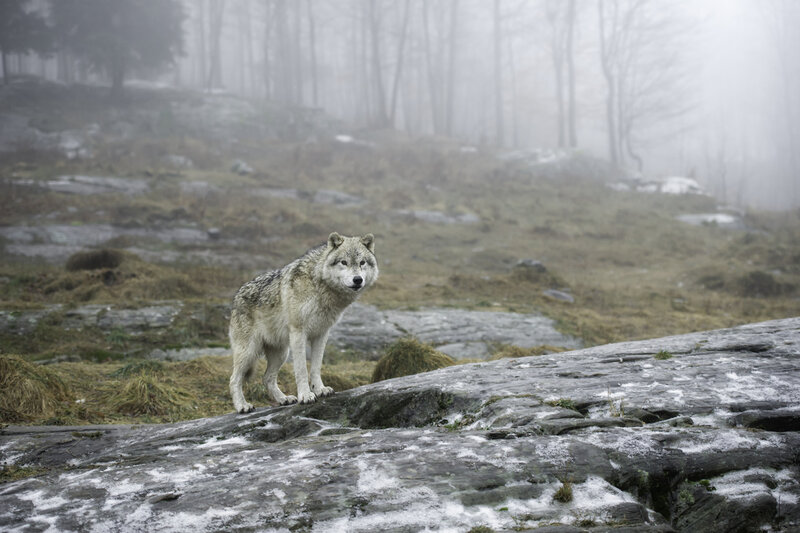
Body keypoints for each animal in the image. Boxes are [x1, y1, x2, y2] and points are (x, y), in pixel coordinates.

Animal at [229, 232, 378, 413]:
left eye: (362, 262)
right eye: (344, 262)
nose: (357, 279)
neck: (320, 286)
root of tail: (237, 295)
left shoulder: (321, 334)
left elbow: (315, 367)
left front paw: (320, 389)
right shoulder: (298, 333)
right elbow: (301, 370)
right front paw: (306, 395)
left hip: (281, 353)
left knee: (267, 378)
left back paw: (284, 399)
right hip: (250, 352)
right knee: (234, 379)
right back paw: (242, 406)